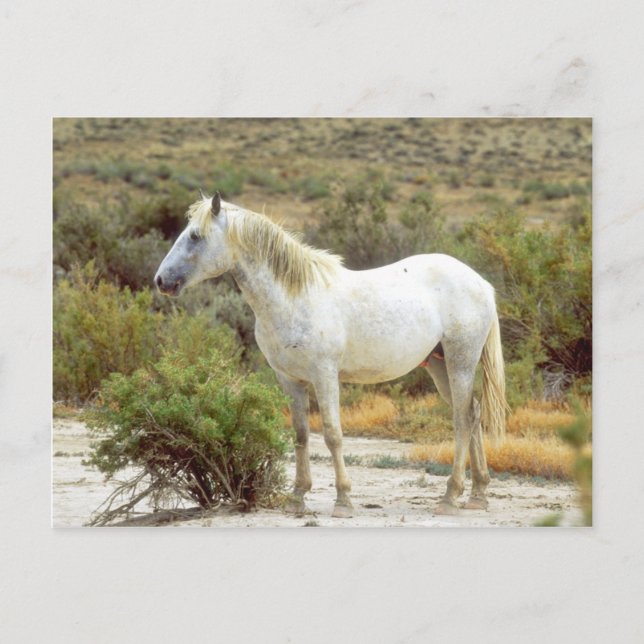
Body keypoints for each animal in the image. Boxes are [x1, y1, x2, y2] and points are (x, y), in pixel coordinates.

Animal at [154, 192, 507, 517]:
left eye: (195, 236)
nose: (161, 281)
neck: (293, 298)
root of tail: (481, 282)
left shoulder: (324, 375)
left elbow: (333, 435)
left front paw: (343, 501)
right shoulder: (290, 380)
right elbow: (300, 435)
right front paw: (297, 497)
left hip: (460, 362)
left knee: (462, 420)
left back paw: (450, 496)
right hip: (439, 365)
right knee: (473, 413)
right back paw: (478, 494)